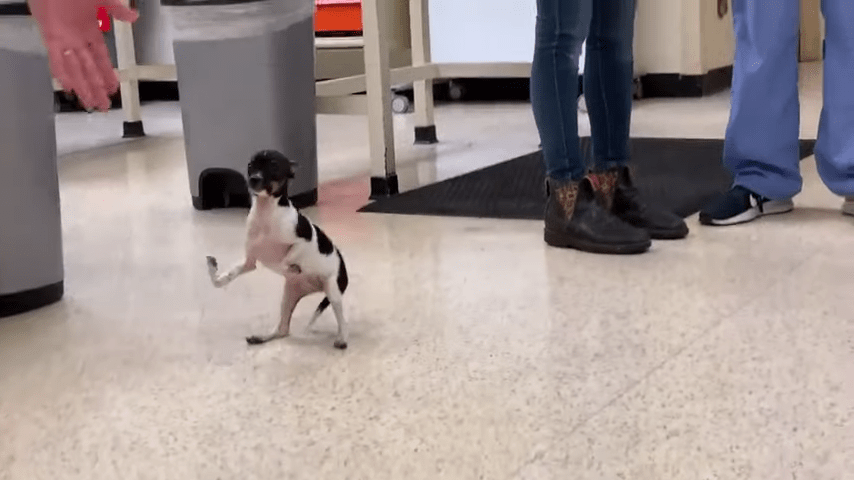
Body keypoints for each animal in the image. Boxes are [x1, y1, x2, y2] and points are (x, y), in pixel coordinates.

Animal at [207, 150, 352, 348]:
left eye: (274, 166)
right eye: (251, 165)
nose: (254, 178)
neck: (265, 212)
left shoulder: (302, 242)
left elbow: (286, 259)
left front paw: (291, 267)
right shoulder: (249, 262)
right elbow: (223, 278)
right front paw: (214, 272)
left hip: (333, 290)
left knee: (342, 319)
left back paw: (342, 338)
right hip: (289, 297)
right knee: (283, 329)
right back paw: (263, 337)